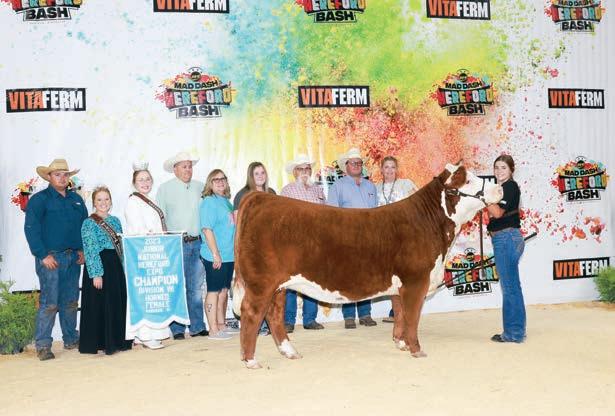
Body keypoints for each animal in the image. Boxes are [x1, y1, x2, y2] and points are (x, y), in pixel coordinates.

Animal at [232, 162, 502, 369]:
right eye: (468, 181)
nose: (499, 187)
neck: (428, 223)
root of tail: (260, 197)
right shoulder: (416, 281)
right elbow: (413, 317)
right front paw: (416, 349)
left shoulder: (400, 286)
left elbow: (400, 314)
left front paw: (400, 343)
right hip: (261, 283)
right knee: (252, 314)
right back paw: (250, 360)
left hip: (279, 286)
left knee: (274, 315)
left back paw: (289, 351)